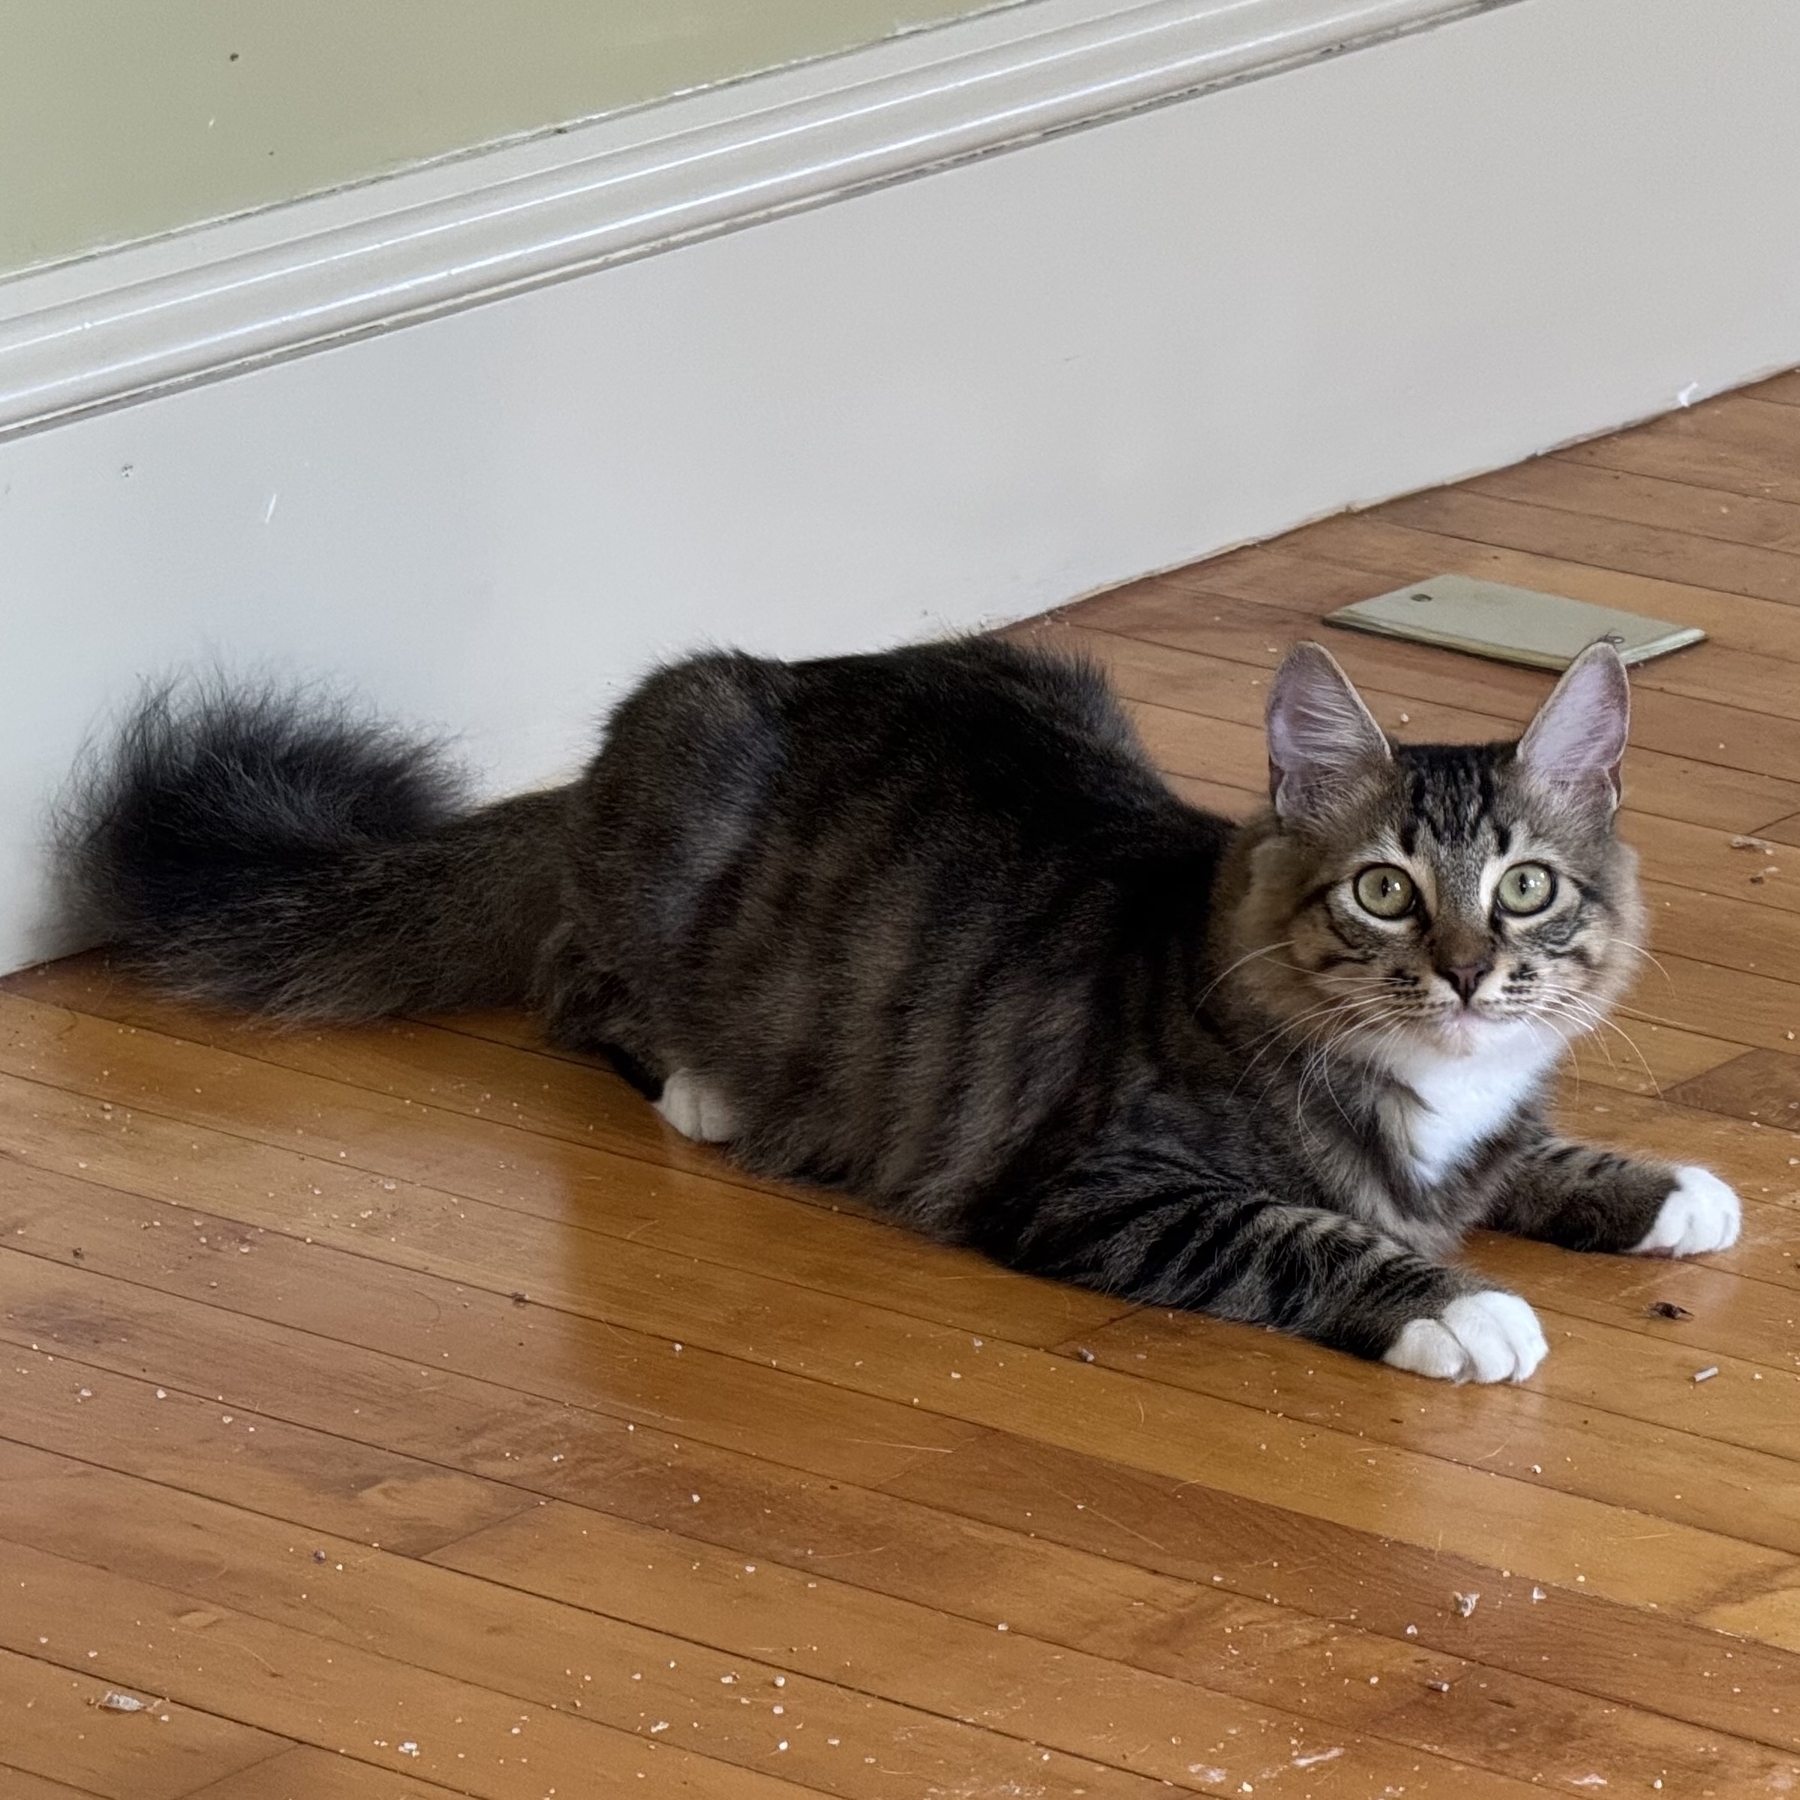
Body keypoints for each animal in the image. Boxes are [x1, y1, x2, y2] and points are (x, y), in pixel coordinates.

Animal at [63, 633, 1735, 1375]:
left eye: (1527, 888)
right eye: (1386, 892)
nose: (1465, 972)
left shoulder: (1488, 1121)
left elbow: (1535, 1152)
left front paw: (1669, 1192)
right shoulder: (1098, 1188)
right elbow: (1309, 1233)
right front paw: (1458, 1309)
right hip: (663, 839)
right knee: (573, 992)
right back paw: (711, 1088)